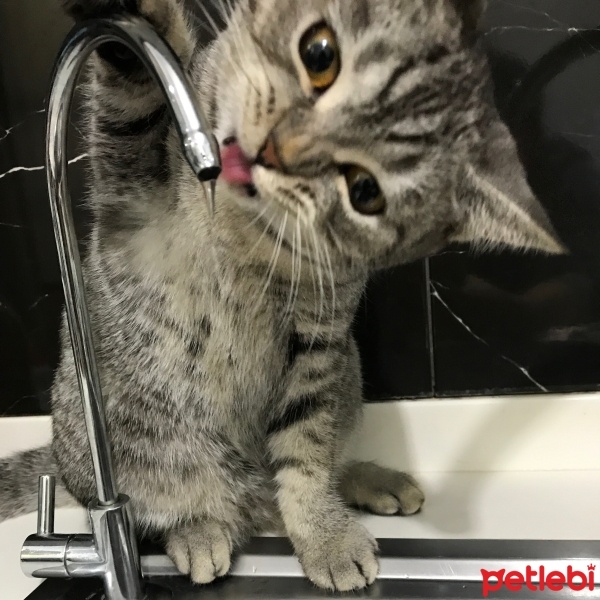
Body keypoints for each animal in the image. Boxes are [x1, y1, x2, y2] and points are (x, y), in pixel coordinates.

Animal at [0, 0, 564, 592]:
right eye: (319, 55)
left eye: (365, 190)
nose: (278, 150)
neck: (251, 234)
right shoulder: (133, 193)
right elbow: (141, 87)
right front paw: (150, 15)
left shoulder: (318, 343)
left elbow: (305, 447)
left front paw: (324, 535)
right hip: (106, 441)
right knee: (157, 510)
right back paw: (196, 529)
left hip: (346, 375)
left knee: (293, 477)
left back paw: (364, 482)